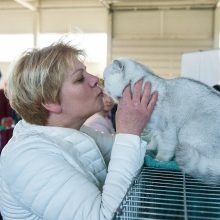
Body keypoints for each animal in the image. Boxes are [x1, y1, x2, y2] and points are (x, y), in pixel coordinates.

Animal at [103, 57, 220, 185]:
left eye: (105, 79)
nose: (103, 87)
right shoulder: (155, 129)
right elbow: (155, 141)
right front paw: (150, 148)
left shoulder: (166, 129)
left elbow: (165, 148)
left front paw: (160, 159)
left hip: (187, 132)